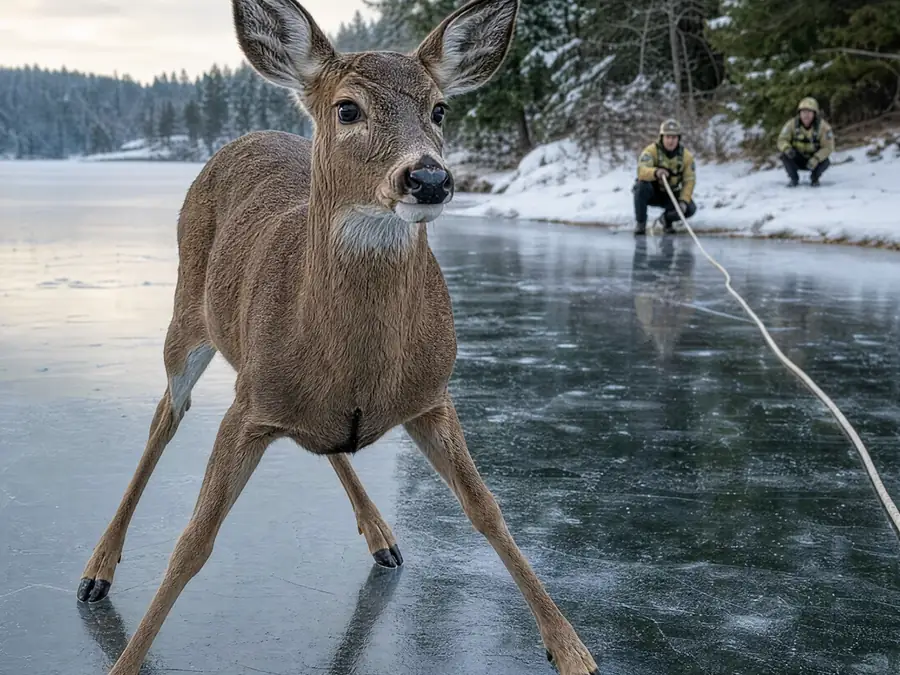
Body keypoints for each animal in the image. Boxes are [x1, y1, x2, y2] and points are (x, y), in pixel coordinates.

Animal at [75, 0, 599, 673]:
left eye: (440, 108)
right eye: (348, 108)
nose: (429, 179)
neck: (358, 361)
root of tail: (246, 135)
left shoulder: (433, 393)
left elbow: (487, 510)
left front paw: (571, 647)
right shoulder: (248, 403)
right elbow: (194, 541)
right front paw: (125, 660)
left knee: (322, 441)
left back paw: (381, 536)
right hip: (186, 315)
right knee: (165, 415)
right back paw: (96, 569)